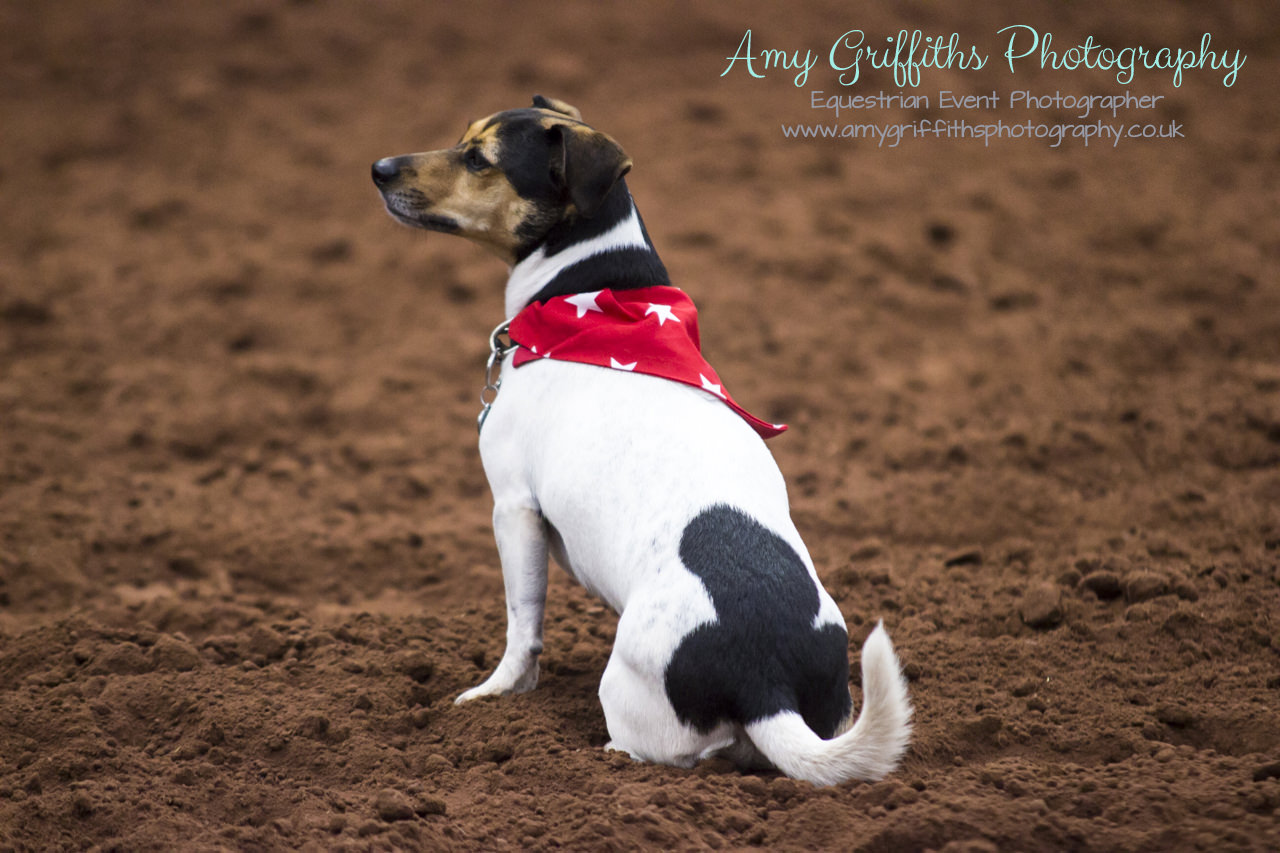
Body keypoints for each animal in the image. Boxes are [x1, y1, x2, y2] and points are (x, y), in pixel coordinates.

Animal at [371, 96, 911, 778]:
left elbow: (522, 627)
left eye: (479, 158)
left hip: (629, 694)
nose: (378, 168)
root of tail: (766, 686)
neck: (590, 293)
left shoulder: (513, 509)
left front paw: (497, 694)